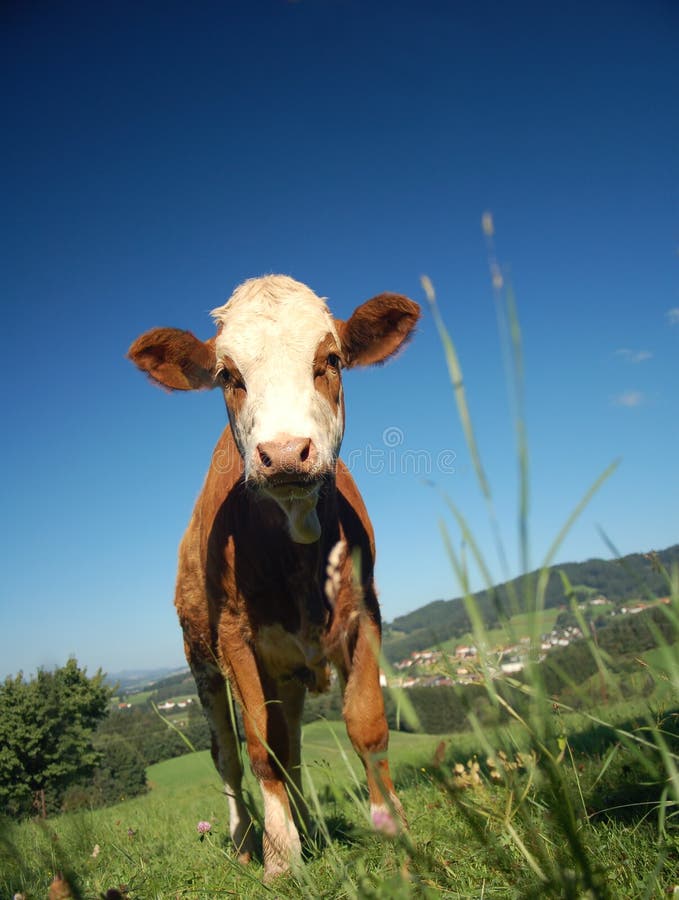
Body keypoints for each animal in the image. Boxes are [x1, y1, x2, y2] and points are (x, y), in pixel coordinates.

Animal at [127, 276, 420, 880]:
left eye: (331, 360)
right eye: (227, 375)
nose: (284, 453)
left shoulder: (364, 614)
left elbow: (367, 727)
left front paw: (394, 830)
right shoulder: (233, 636)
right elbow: (258, 747)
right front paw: (281, 857)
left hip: (287, 673)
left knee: (293, 749)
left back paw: (307, 824)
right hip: (201, 661)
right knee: (229, 756)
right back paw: (245, 839)